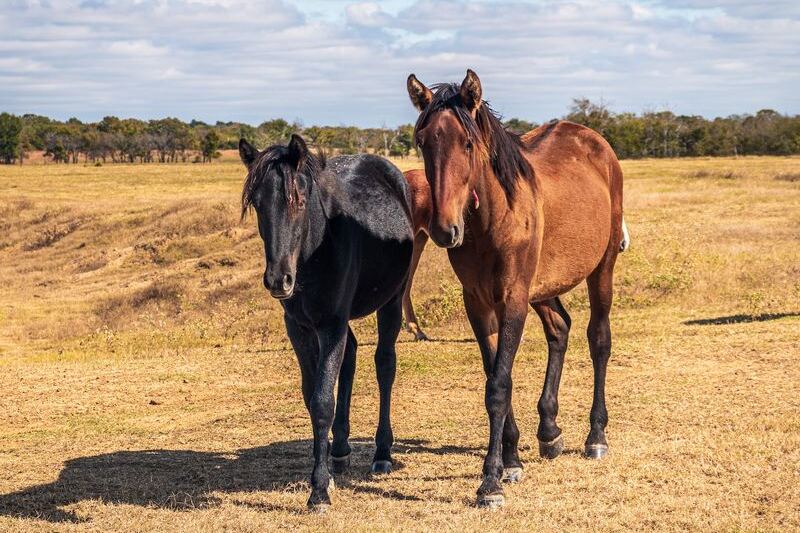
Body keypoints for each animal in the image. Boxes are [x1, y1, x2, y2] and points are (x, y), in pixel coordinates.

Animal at [239, 134, 414, 512]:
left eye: (299, 200)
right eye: (257, 204)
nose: (278, 280)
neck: (317, 249)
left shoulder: (331, 324)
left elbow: (322, 401)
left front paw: (319, 490)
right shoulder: (300, 327)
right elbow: (312, 395)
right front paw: (326, 470)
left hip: (391, 302)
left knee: (384, 365)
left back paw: (382, 452)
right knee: (351, 357)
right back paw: (341, 448)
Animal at [406, 69, 629, 508]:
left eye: (467, 142)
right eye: (422, 141)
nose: (444, 229)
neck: (493, 219)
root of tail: (596, 143)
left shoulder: (512, 300)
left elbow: (499, 385)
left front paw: (489, 481)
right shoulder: (479, 304)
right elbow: (496, 374)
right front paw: (511, 461)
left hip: (601, 269)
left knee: (599, 340)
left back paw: (596, 436)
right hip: (542, 288)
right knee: (560, 329)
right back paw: (549, 431)